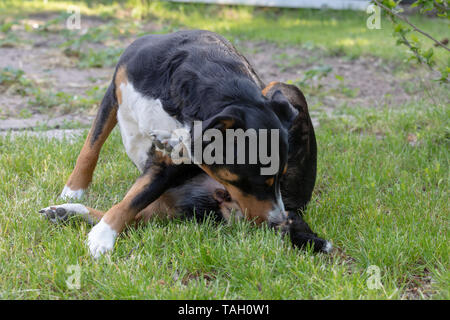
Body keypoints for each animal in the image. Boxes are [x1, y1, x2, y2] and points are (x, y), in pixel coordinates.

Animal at [40, 30, 332, 258]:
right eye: (260, 182)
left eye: (278, 179)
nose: (277, 220)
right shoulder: (114, 92)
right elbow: (91, 147)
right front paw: (72, 191)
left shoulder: (168, 165)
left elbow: (131, 202)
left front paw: (102, 237)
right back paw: (67, 211)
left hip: (284, 87)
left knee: (139, 214)